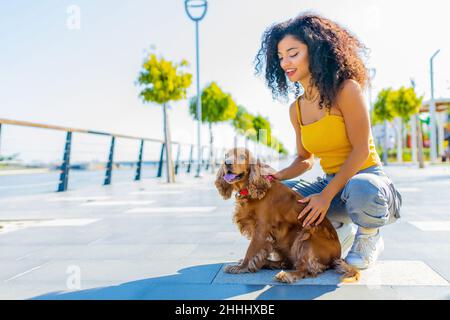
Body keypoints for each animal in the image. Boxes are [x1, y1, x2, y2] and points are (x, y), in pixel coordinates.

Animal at [214, 148, 358, 282]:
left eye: (242, 157)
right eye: (226, 155)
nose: (227, 163)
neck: (252, 189)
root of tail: (337, 255)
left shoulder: (262, 229)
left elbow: (251, 250)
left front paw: (241, 267)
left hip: (305, 237)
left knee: (308, 269)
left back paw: (286, 275)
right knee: (289, 262)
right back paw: (270, 264)